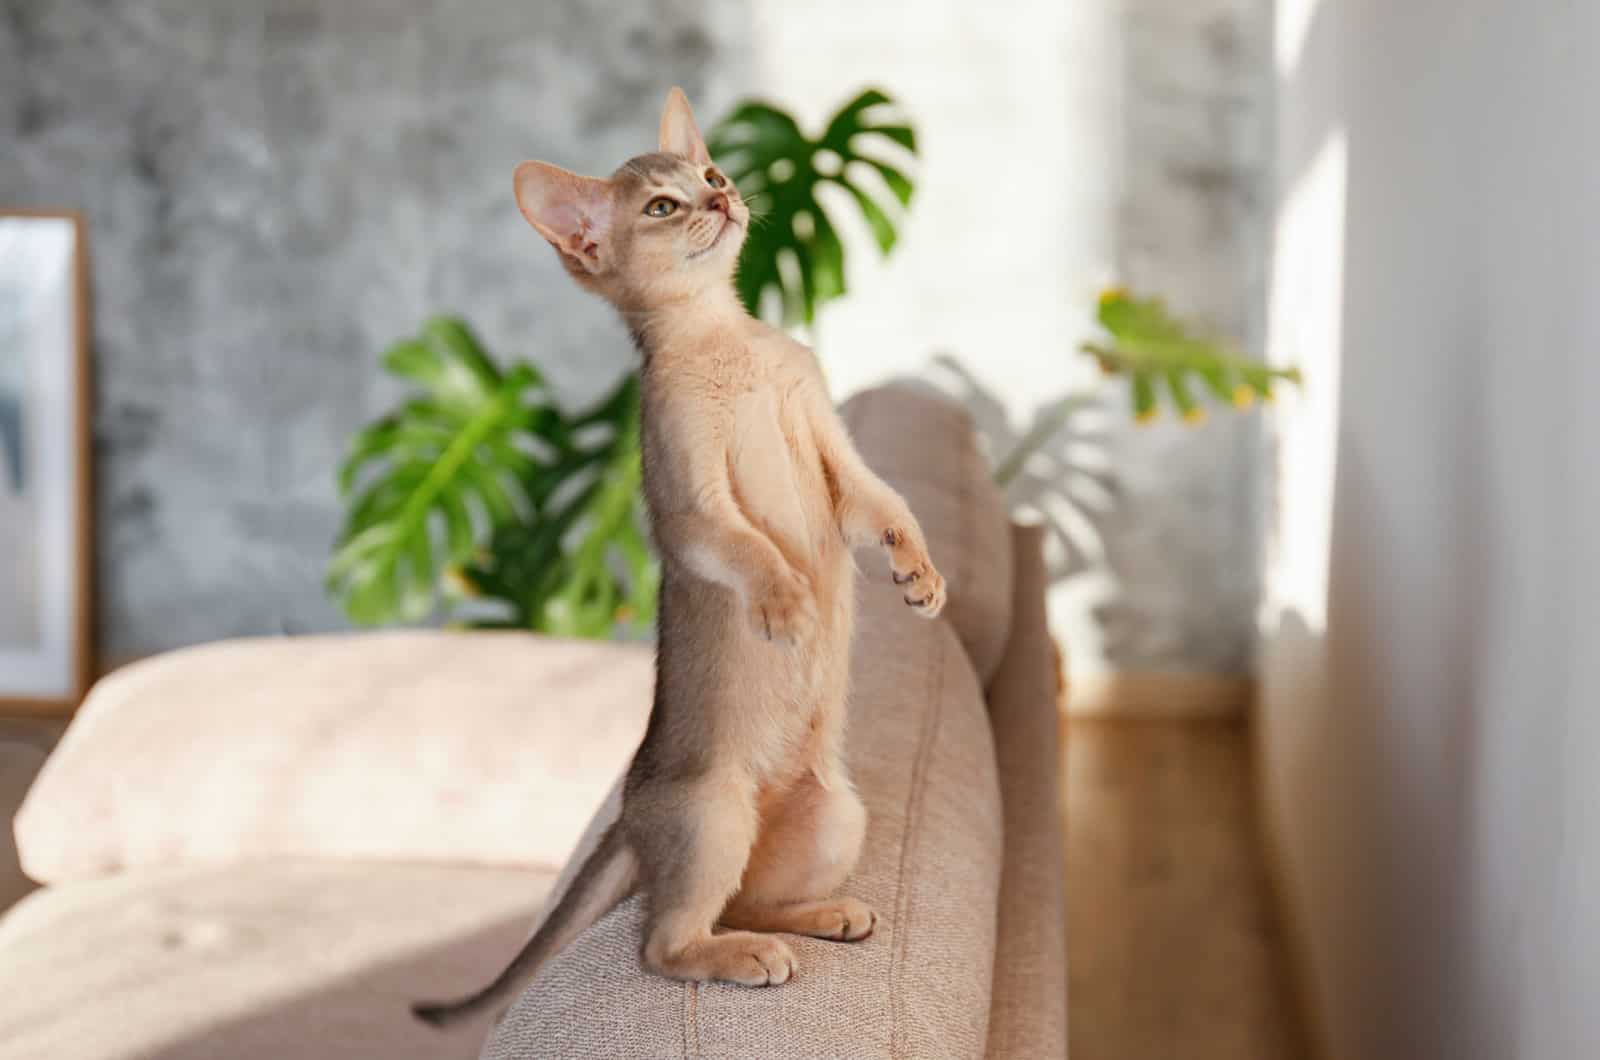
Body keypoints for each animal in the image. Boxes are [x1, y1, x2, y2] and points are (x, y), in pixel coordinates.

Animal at [412, 87, 940, 1031]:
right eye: (662, 206)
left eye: (715, 174)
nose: (723, 200)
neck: (732, 344)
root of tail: (628, 815)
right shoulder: (682, 494)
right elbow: (740, 544)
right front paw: (786, 604)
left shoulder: (828, 442)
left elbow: (884, 503)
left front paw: (921, 575)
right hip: (712, 815)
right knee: (664, 941)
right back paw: (745, 957)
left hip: (837, 815)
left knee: (747, 899)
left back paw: (822, 917)